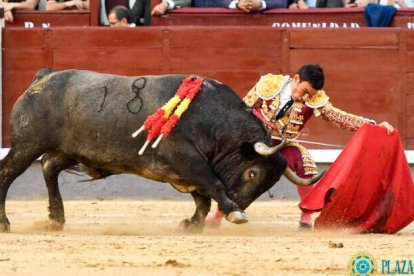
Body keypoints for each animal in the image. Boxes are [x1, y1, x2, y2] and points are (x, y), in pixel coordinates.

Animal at [0, 69, 320, 233]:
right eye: (253, 173)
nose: (237, 205)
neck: (213, 121)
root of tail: (43, 77)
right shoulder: (188, 161)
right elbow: (213, 186)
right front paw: (233, 214)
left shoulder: (187, 171)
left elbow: (203, 199)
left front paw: (191, 224)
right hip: (27, 145)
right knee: (8, 173)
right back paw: (5, 223)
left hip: (68, 149)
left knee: (48, 167)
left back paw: (56, 218)